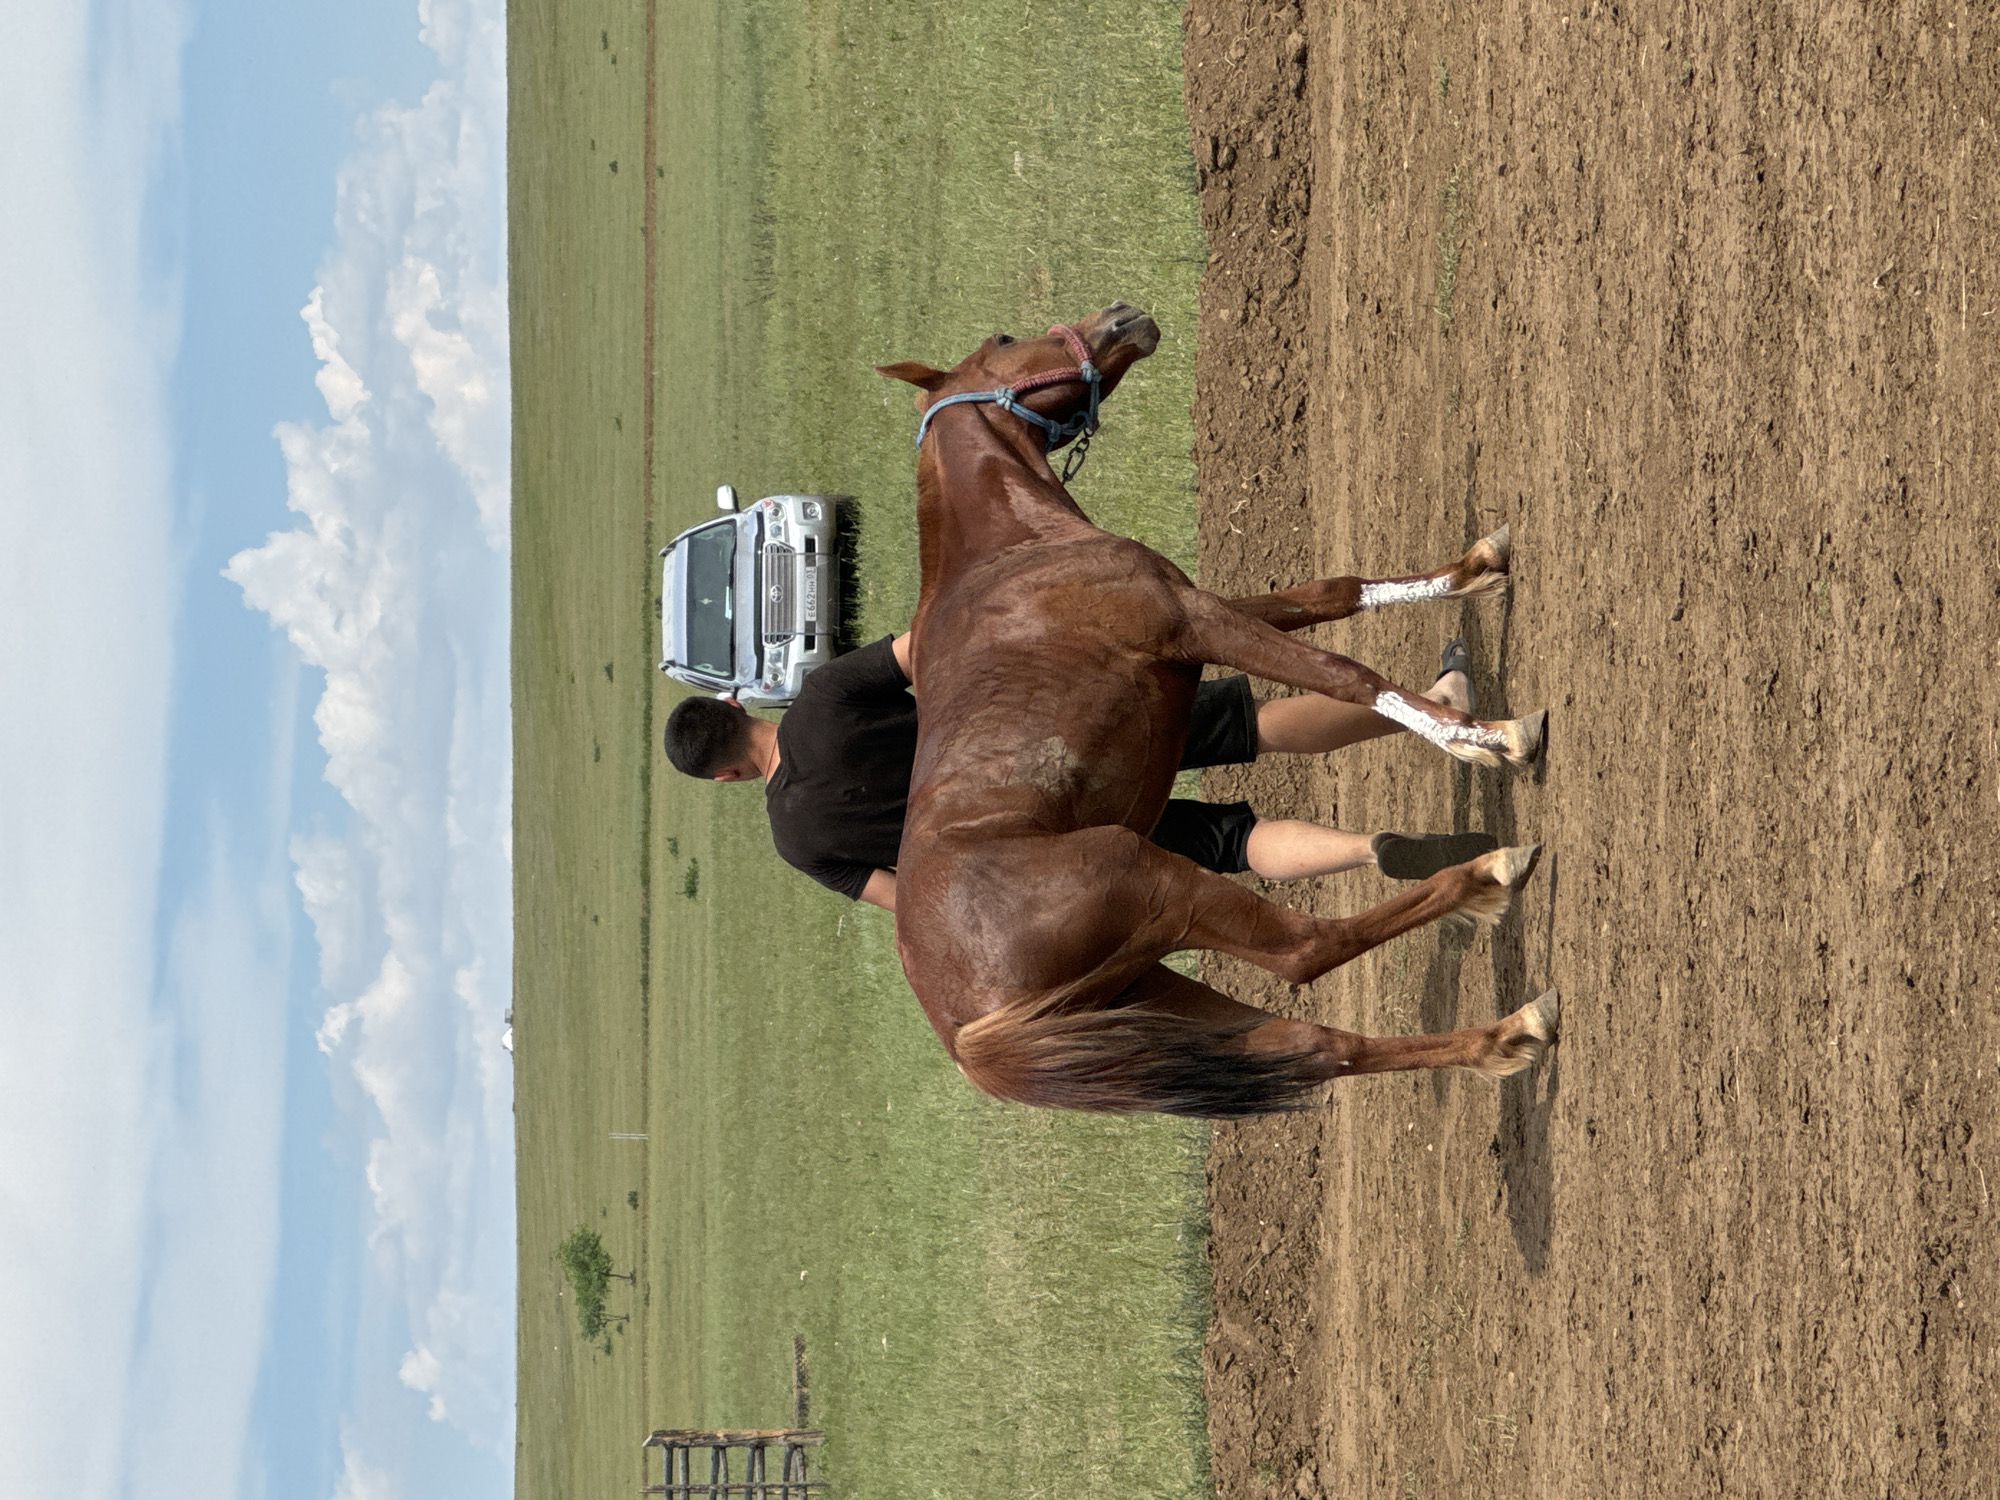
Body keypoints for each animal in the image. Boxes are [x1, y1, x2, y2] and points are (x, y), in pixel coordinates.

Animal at [878, 303, 1558, 1118]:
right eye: (1006, 340)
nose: (1123, 317)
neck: (1011, 550)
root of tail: (966, 1032)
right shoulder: (1194, 621)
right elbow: (1346, 674)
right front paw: (1485, 739)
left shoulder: (1203, 605)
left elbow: (1334, 591)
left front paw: (1475, 569)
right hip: (1163, 883)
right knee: (1307, 950)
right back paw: (1489, 875)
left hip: (1147, 986)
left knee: (1319, 1044)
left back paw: (1507, 1035)